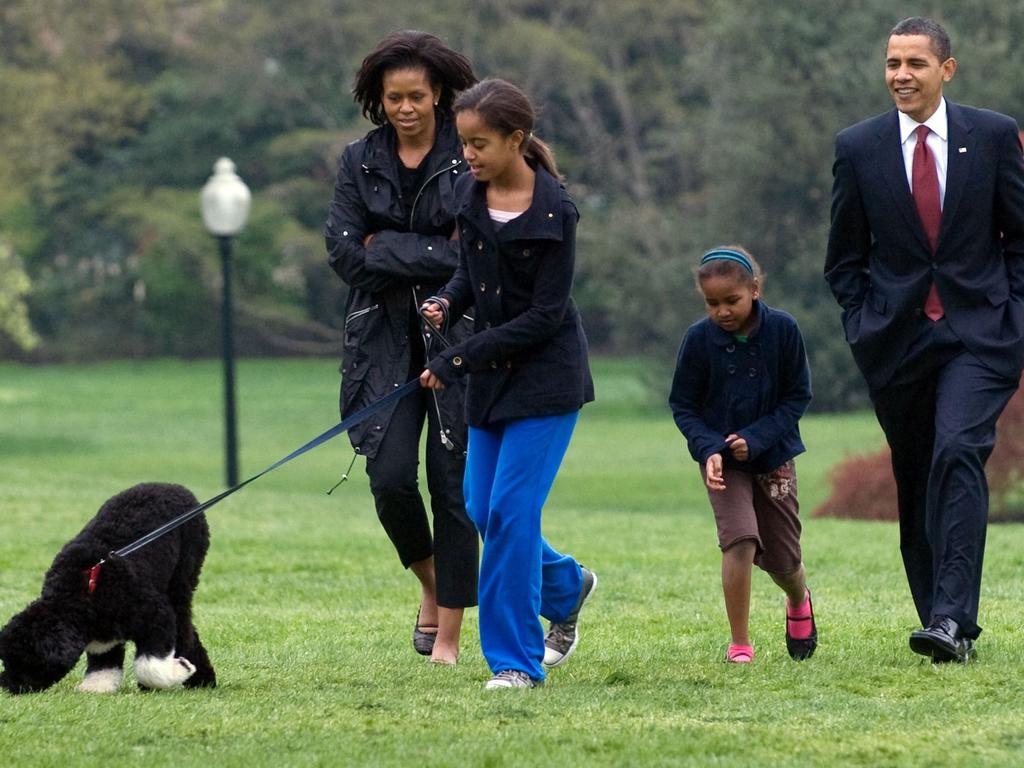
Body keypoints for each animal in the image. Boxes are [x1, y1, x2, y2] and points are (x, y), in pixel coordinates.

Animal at [0, 487, 216, 696]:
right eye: (7, 660)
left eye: (27, 662)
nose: (8, 686)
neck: (81, 594)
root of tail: (179, 489)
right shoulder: (101, 632)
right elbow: (104, 661)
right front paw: (97, 687)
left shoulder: (156, 614)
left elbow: (149, 666)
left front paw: (181, 669)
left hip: (182, 579)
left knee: (184, 628)